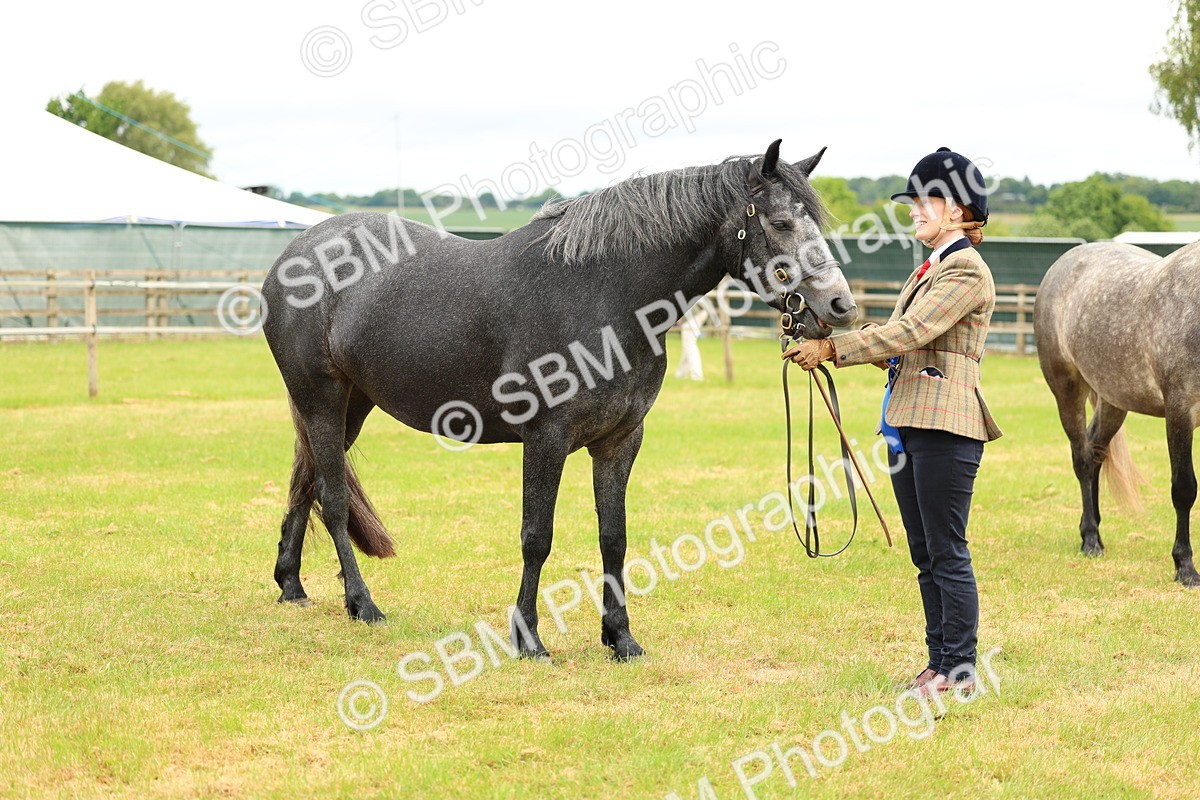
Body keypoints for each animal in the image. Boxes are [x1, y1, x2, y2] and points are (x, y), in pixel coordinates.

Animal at [260, 139, 860, 659]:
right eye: (780, 223)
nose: (841, 305)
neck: (604, 295)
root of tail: (293, 256)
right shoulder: (545, 439)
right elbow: (537, 537)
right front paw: (528, 640)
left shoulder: (620, 440)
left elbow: (613, 538)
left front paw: (621, 638)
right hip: (320, 398)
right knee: (333, 496)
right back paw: (362, 604)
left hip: (351, 405)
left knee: (306, 480)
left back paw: (291, 585)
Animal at [1035, 241, 1199, 587]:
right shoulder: (1180, 411)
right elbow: (1184, 489)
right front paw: (1185, 567)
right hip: (1068, 389)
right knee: (1083, 458)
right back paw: (1090, 540)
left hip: (1113, 400)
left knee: (1097, 450)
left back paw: (1094, 528)